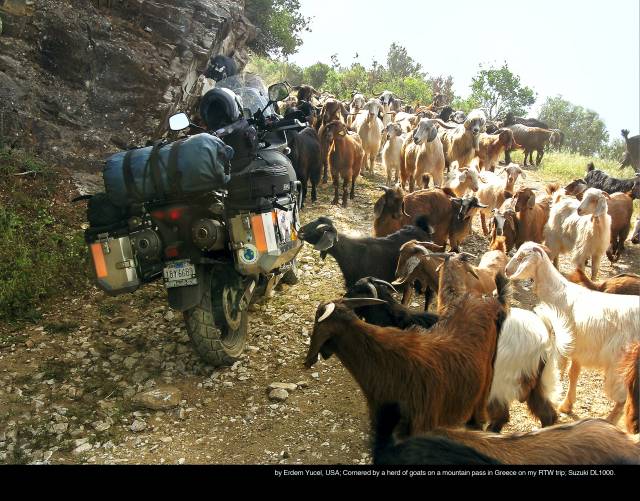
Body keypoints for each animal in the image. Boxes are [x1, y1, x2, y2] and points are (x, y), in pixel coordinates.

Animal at [504, 241, 640, 422]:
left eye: (520, 257)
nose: (506, 270)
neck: (558, 293)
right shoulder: (578, 347)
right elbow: (573, 374)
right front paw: (567, 405)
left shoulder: (562, 341)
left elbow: (559, 370)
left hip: (619, 364)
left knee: (622, 399)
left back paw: (608, 421)